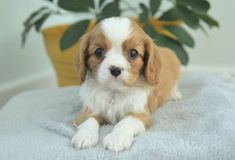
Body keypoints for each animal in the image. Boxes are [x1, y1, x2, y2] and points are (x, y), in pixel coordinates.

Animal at [71, 16, 182, 152]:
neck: (115, 91)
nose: (115, 69)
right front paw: (84, 136)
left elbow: (125, 122)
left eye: (133, 53)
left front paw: (116, 138)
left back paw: (175, 94)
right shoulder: (89, 110)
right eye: (98, 52)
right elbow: (88, 121)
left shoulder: (141, 114)